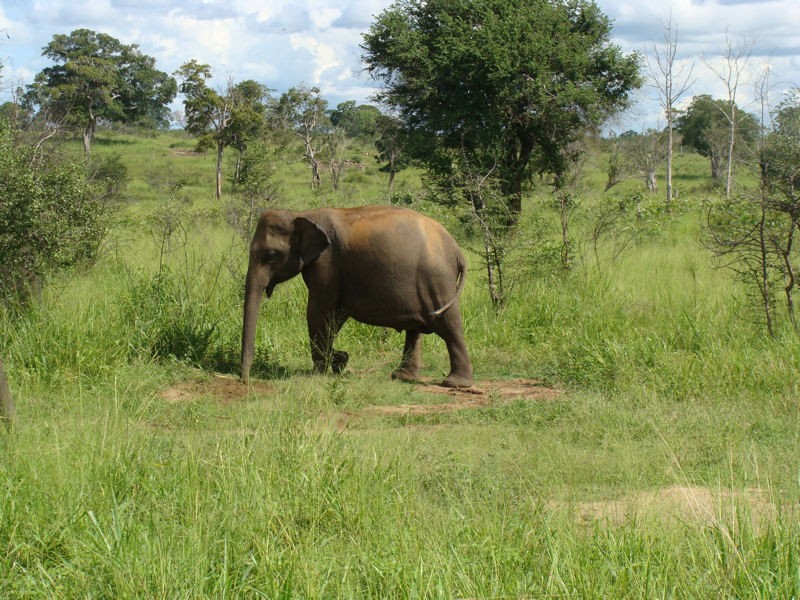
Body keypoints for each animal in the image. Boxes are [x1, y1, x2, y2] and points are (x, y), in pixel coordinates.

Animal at [241, 204, 472, 386]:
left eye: (271, 255)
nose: (245, 380)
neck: (302, 214)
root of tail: (456, 249)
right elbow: (336, 314)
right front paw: (339, 360)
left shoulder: (327, 263)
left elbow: (319, 310)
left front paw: (319, 372)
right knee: (415, 328)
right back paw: (402, 377)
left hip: (437, 280)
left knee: (449, 324)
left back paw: (456, 383)